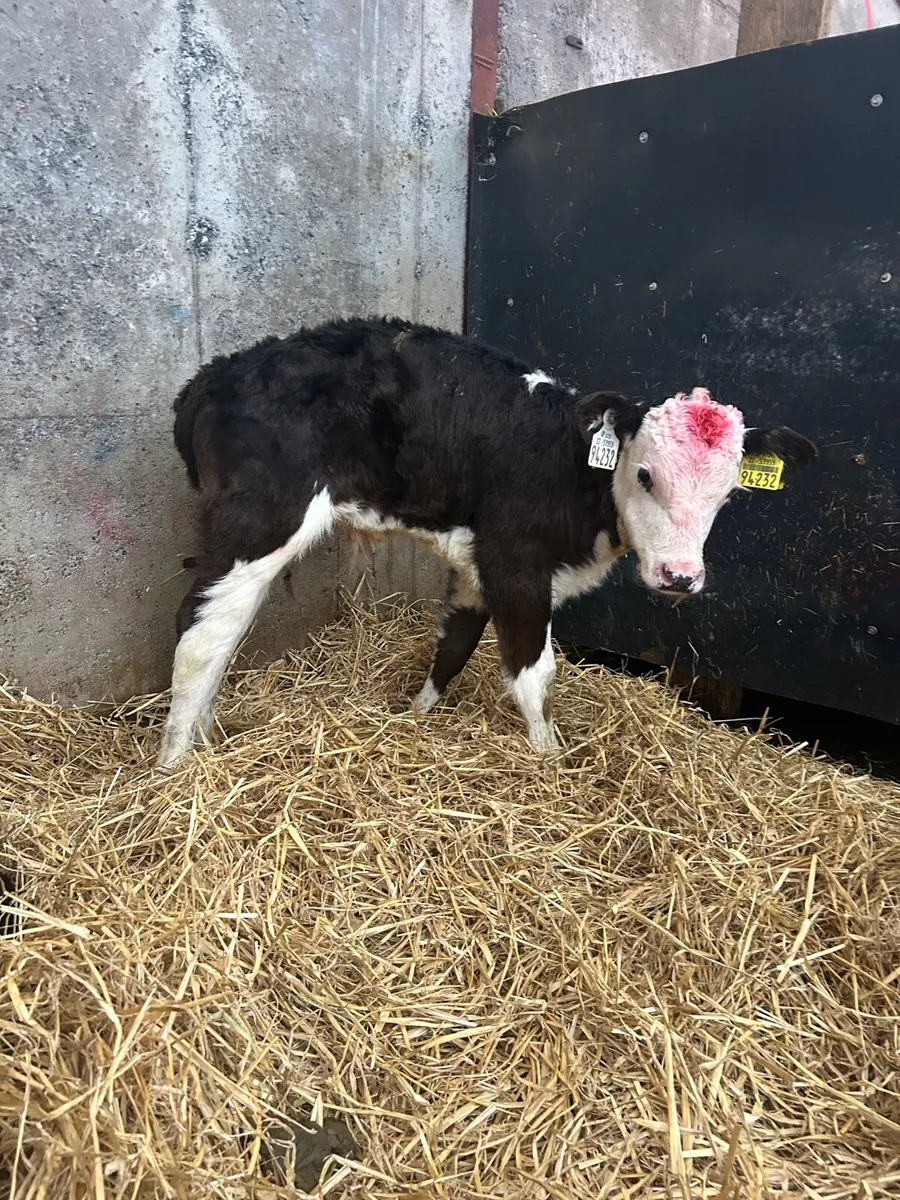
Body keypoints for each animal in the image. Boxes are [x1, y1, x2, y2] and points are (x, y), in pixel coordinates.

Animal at [156, 316, 817, 769]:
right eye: (646, 474)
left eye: (727, 492)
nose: (680, 576)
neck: (570, 466)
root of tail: (210, 378)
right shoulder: (515, 562)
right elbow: (534, 671)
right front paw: (550, 761)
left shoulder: (477, 565)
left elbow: (454, 644)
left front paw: (417, 717)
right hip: (258, 521)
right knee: (200, 632)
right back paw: (175, 766)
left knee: (222, 629)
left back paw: (205, 738)